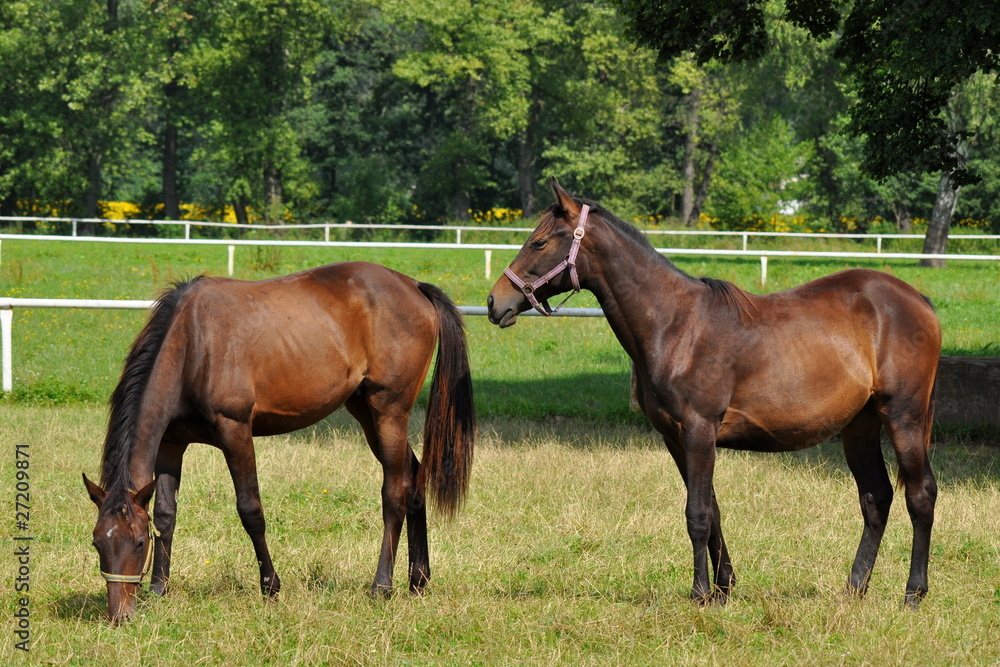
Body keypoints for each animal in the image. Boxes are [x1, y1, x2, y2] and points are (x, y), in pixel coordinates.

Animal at [81, 260, 472, 620]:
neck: (192, 343)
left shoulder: (235, 432)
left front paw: (270, 587)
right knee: (414, 477)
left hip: (388, 411)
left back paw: (382, 585)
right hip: (365, 412)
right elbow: (165, 514)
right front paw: (159, 589)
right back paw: (418, 579)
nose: (119, 614)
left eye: (138, 542)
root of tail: (414, 286)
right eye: (98, 542)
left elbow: (250, 510)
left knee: (394, 492)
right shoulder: (170, 444)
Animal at [488, 180, 940, 608]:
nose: (495, 302)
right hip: (858, 426)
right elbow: (713, 511)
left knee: (920, 495)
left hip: (903, 417)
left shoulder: (699, 432)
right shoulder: (676, 439)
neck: (675, 325)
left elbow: (698, 515)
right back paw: (854, 588)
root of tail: (918, 299)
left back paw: (913, 593)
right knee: (876, 497)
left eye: (539, 243)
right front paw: (723, 588)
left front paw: (700, 592)